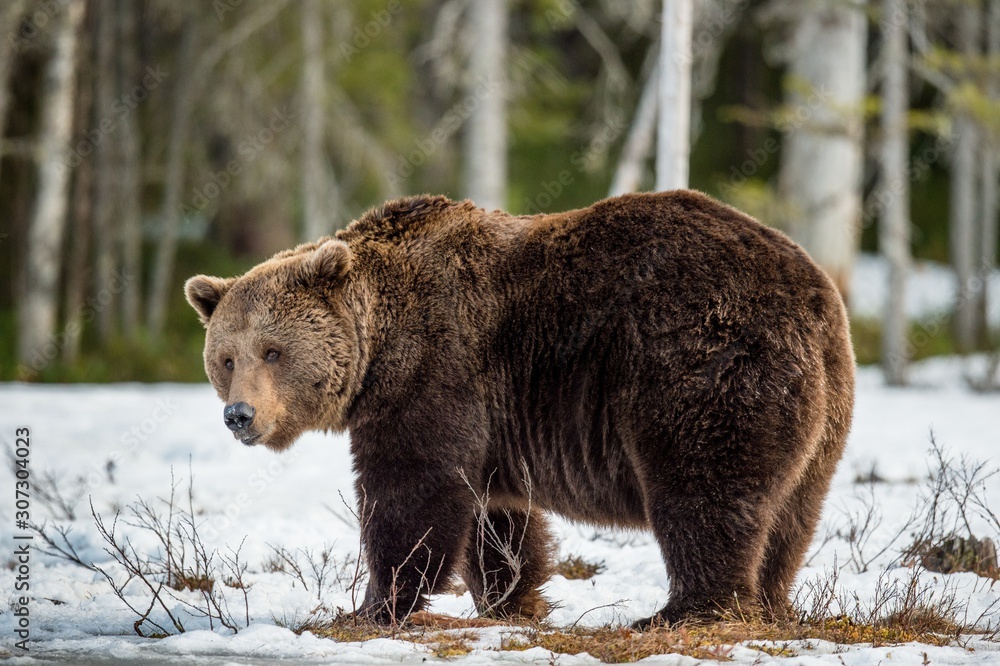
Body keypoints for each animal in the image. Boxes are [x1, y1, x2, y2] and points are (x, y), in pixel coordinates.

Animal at [185, 190, 855, 629]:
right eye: (226, 358)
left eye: (273, 351)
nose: (239, 415)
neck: (379, 347)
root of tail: (812, 290)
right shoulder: (494, 418)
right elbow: (497, 517)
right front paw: (514, 600)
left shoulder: (437, 370)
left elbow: (412, 492)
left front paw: (373, 605)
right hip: (823, 412)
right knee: (793, 509)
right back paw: (769, 601)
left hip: (698, 363)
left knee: (703, 488)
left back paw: (685, 611)